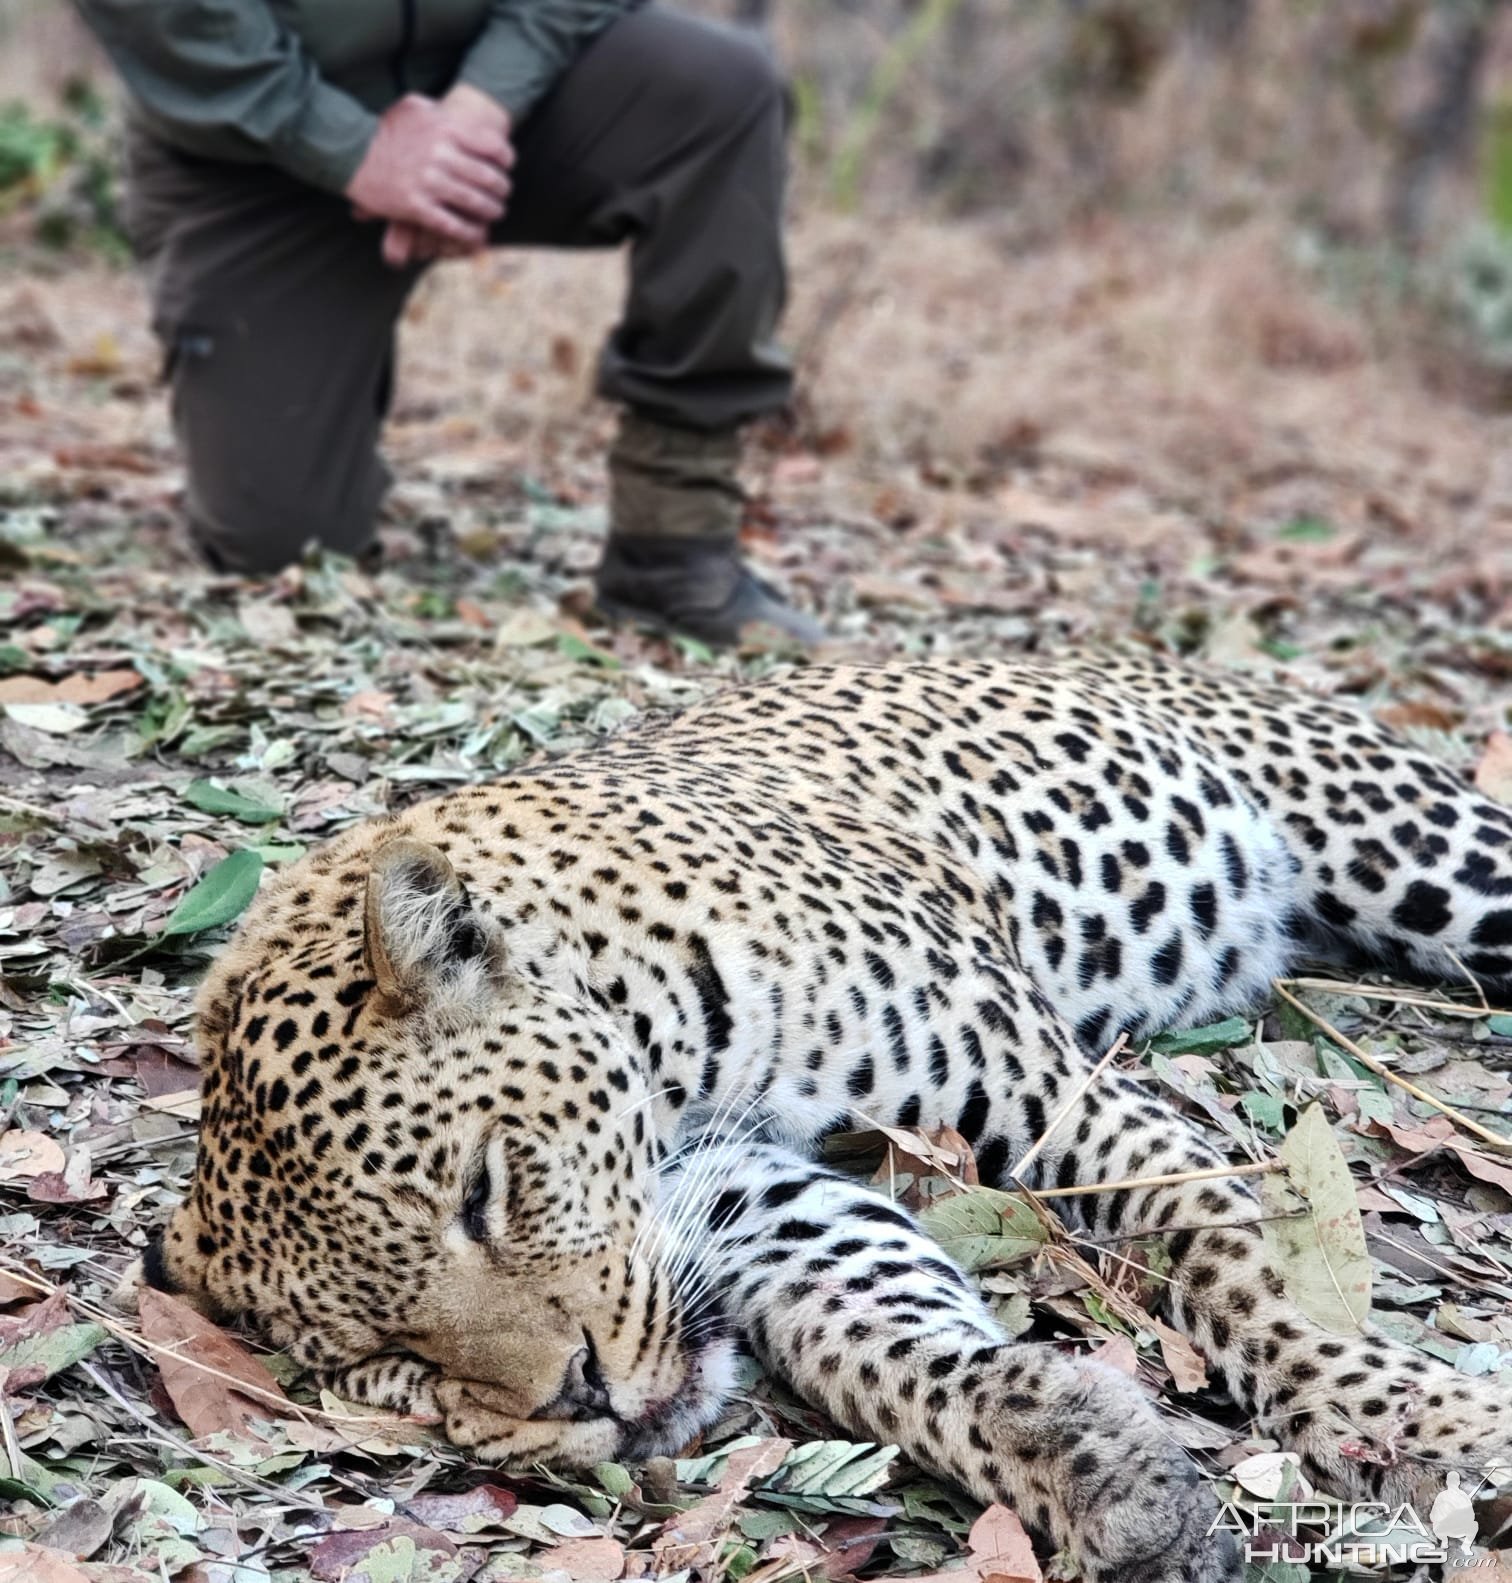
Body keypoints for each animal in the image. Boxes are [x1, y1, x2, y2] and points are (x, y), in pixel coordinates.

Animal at [129, 649, 1512, 1576]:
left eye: (484, 1191)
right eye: (386, 1357)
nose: (579, 1399)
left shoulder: (1051, 1095)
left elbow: (1243, 1275)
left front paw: (1426, 1417)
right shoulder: (765, 1190)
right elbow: (897, 1345)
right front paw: (1097, 1465)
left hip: (1428, 850)